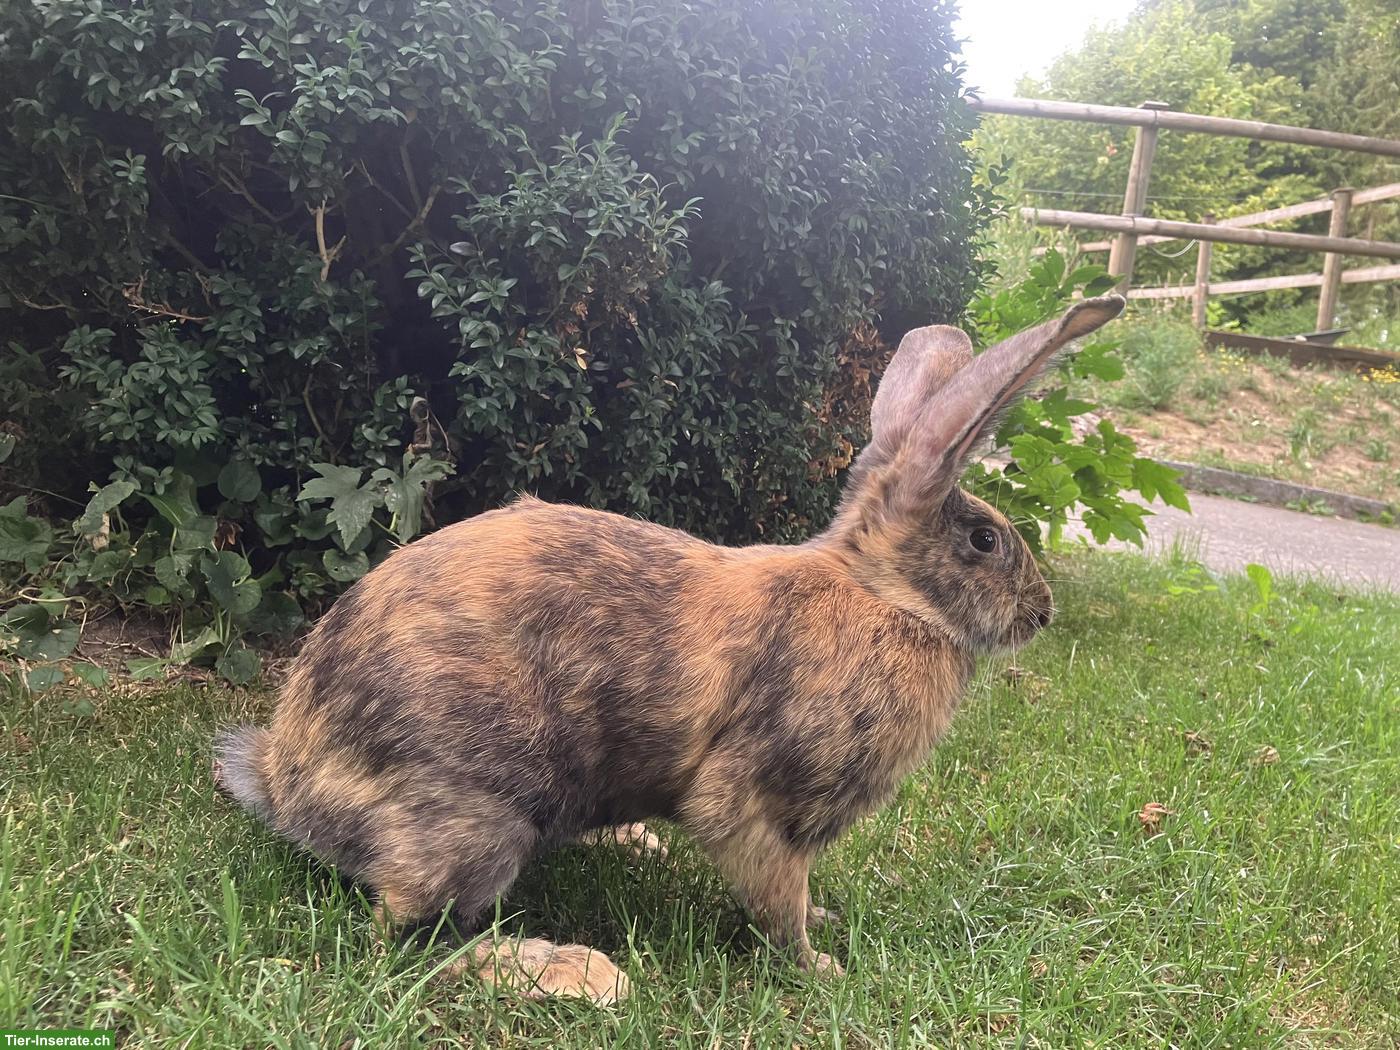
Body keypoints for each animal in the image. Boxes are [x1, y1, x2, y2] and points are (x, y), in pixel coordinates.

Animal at [213, 294, 1124, 1003]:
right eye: (983, 541)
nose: (1042, 613)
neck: (883, 595)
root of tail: (287, 785)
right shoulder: (760, 804)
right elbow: (775, 894)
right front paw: (820, 965)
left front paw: (826, 926)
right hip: (478, 819)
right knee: (406, 936)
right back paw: (572, 971)